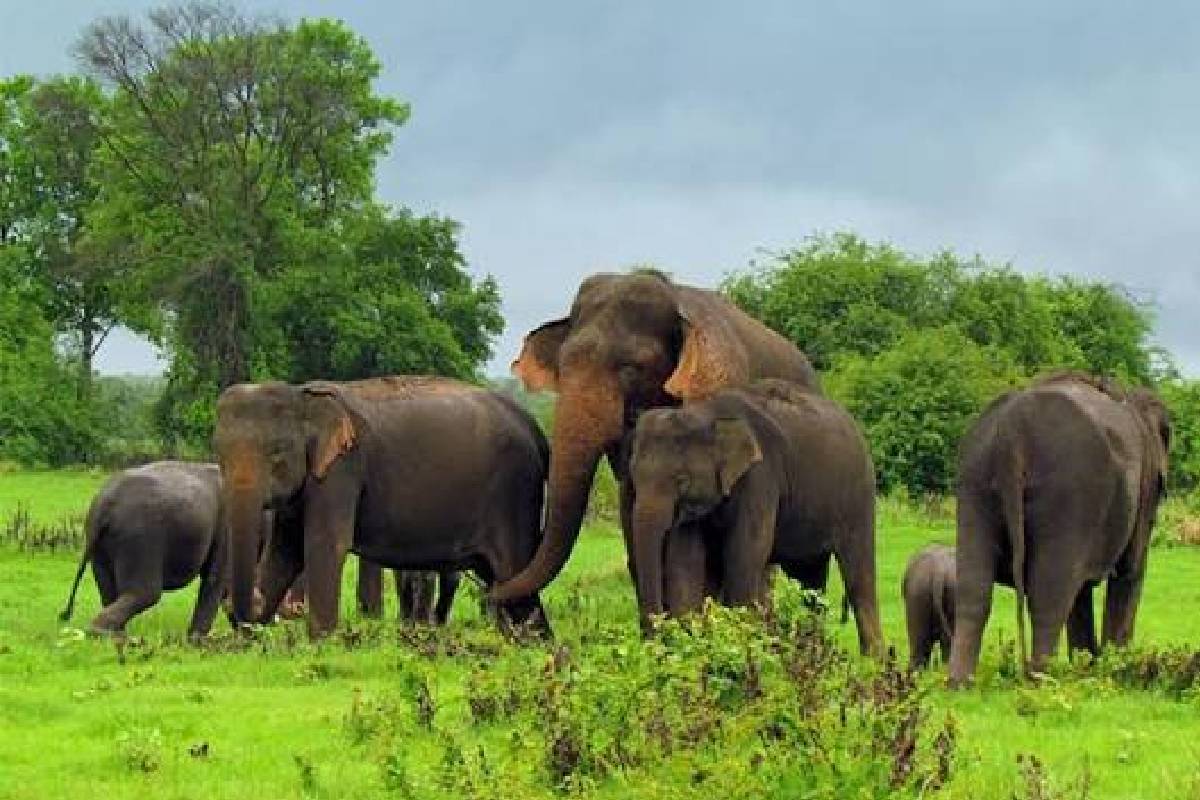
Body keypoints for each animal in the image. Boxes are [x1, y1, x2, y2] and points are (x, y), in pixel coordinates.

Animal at [60, 461, 230, 639]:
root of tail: (103, 506)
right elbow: (215, 578)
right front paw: (197, 642)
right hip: (141, 537)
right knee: (146, 594)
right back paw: (121, 638)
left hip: (101, 546)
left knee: (109, 591)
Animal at [214, 376, 549, 639]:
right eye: (218, 453)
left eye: (277, 453)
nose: (251, 600)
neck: (301, 396)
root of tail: (533, 425)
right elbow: (285, 551)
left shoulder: (342, 468)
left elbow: (325, 545)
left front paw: (321, 642)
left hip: (513, 497)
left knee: (513, 573)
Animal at [626, 379, 883, 654]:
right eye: (633, 478)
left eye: (681, 480)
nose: (654, 644)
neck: (707, 412)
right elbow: (686, 561)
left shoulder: (761, 476)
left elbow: (745, 552)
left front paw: (740, 647)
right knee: (809, 580)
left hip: (859, 496)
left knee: (858, 576)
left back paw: (872, 660)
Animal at [948, 373, 1171, 687]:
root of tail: (1013, 431)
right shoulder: (1145, 486)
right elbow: (1129, 572)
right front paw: (1112, 672)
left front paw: (1087, 668)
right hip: (1068, 491)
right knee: (1048, 595)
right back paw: (1042, 681)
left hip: (973, 481)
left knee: (973, 589)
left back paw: (960, 684)